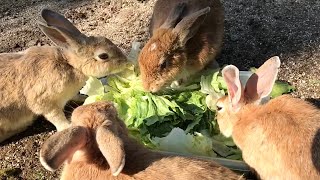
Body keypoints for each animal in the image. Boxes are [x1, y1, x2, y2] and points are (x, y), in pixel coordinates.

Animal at [0, 9, 131, 143]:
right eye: (103, 56)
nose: (126, 62)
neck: (70, 65)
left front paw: (83, 97)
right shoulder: (43, 101)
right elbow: (56, 117)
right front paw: (69, 126)